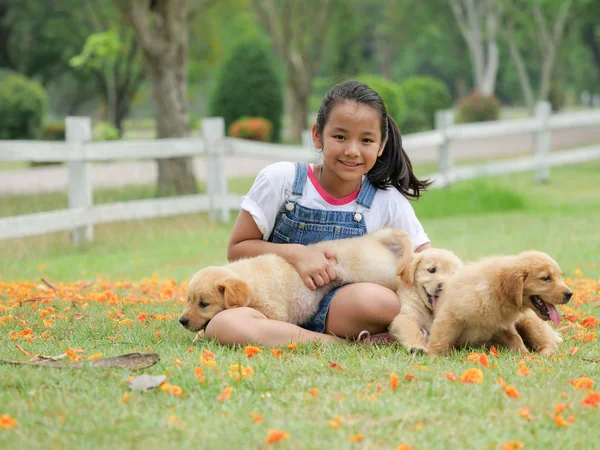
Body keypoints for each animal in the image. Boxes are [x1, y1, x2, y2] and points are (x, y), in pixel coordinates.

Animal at [178, 230, 412, 332]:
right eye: (188, 300)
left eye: (204, 304)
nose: (181, 321)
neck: (249, 280)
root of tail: (372, 238)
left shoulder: (275, 312)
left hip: (381, 273)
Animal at [426, 250, 572, 356]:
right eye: (546, 278)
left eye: (560, 276)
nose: (570, 294)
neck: (496, 293)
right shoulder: (450, 315)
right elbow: (440, 340)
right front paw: (434, 357)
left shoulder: (504, 326)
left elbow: (516, 339)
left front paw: (526, 356)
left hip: (530, 322)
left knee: (549, 344)